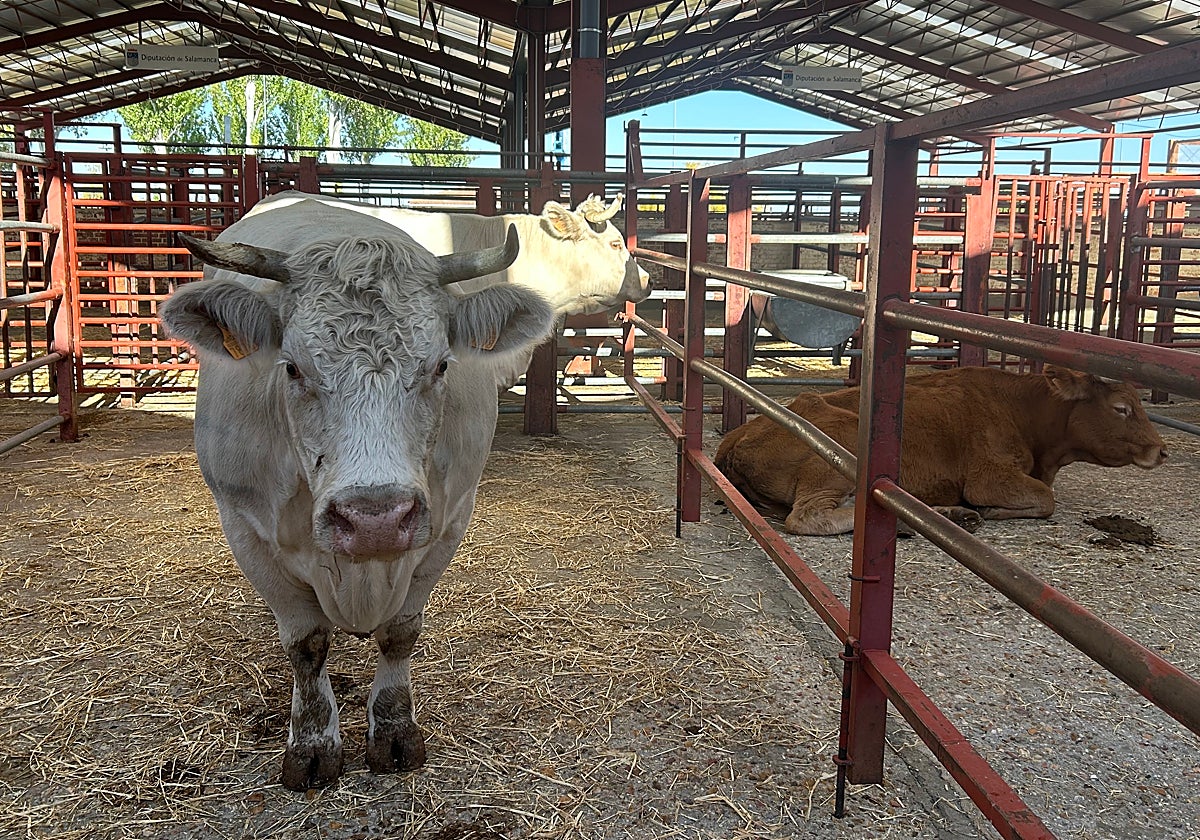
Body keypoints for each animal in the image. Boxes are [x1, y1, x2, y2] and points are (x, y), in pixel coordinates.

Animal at [159, 196, 556, 790]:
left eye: (441, 364)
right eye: (292, 367)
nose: (375, 520)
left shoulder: (448, 522)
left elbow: (400, 633)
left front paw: (393, 730)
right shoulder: (245, 528)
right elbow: (306, 645)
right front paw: (313, 743)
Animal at [714, 365, 1168, 536]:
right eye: (1121, 408)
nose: (1161, 450)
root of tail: (733, 440)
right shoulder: (988, 477)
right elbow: (1045, 498)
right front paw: (992, 511)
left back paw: (948, 515)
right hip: (839, 455)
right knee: (806, 518)